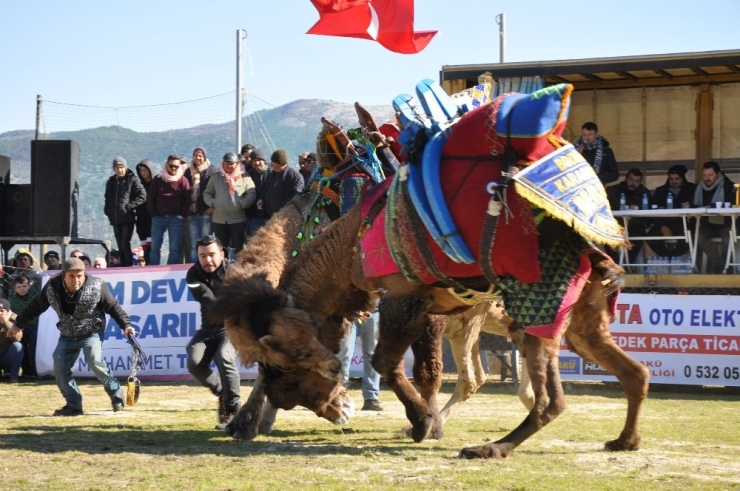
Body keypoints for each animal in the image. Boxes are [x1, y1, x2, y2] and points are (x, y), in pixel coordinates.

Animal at [218, 82, 648, 460]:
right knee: (633, 372)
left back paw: (490, 447)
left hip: (539, 307)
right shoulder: (424, 307)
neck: (350, 242)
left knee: (545, 398)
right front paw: (245, 421)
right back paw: (624, 440)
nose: (336, 408)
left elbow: (397, 365)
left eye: (292, 368)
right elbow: (410, 367)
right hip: (580, 320)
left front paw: (423, 423)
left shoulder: (409, 298)